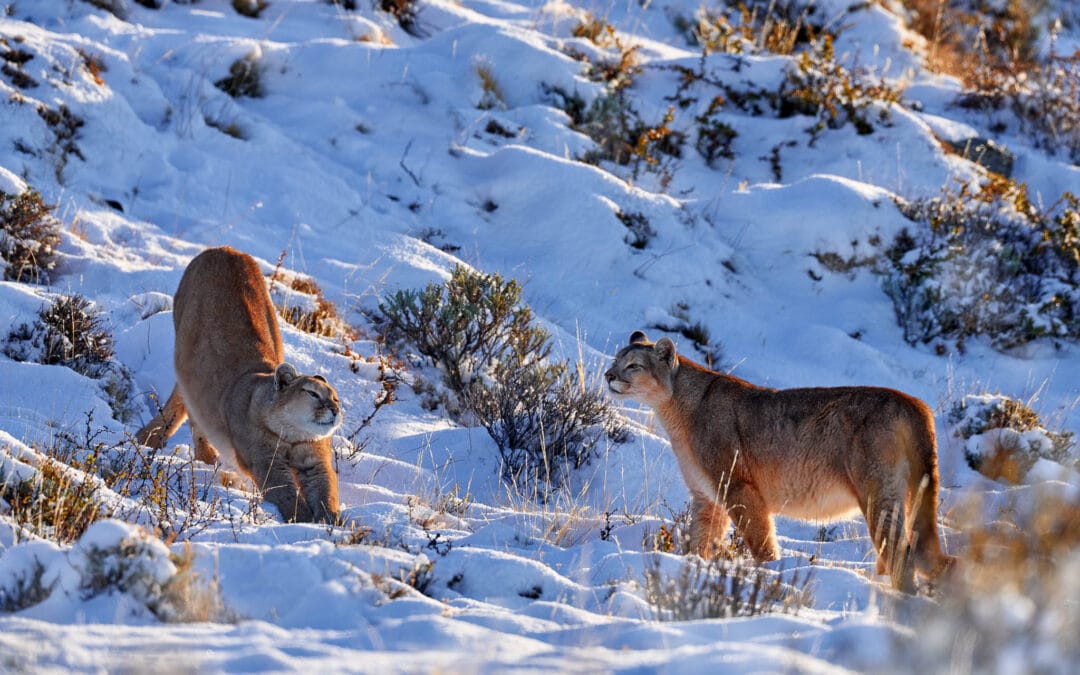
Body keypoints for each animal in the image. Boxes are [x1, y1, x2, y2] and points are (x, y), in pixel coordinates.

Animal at [136, 246, 342, 524]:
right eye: (312, 394)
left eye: (336, 398)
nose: (335, 410)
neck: (292, 435)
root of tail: (225, 249)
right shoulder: (265, 462)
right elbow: (286, 493)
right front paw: (301, 520)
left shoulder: (315, 462)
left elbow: (326, 492)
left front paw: (332, 523)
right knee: (190, 405)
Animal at [605, 331, 955, 592]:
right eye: (615, 359)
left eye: (633, 365)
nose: (608, 375)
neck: (677, 409)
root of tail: (915, 403)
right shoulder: (706, 497)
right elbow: (701, 538)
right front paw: (693, 568)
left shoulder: (737, 486)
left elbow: (760, 537)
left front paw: (771, 572)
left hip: (877, 494)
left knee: (902, 552)